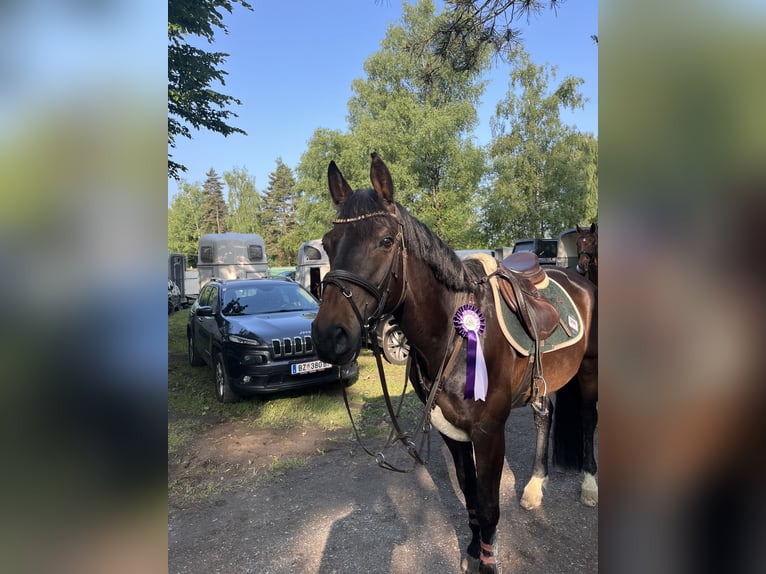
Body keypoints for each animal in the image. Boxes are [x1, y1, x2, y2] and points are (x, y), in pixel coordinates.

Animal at [311, 153, 598, 574]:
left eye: (385, 241)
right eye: (330, 244)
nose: (329, 336)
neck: (454, 334)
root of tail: (582, 279)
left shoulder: (489, 432)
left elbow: (490, 505)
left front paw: (488, 563)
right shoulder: (452, 431)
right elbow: (470, 496)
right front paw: (472, 551)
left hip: (591, 372)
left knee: (589, 420)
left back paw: (589, 485)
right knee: (544, 416)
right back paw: (534, 488)